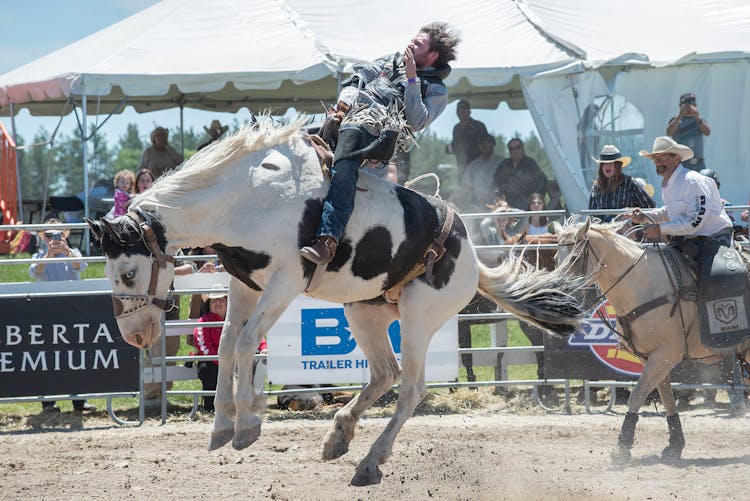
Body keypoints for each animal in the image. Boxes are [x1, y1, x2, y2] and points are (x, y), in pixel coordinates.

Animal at [88, 121, 588, 484]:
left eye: (128, 272)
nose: (136, 335)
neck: (250, 194)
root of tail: (470, 255)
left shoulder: (286, 280)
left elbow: (248, 342)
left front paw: (248, 424)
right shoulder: (244, 283)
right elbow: (227, 344)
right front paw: (222, 426)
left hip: (419, 318)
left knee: (412, 387)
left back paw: (370, 460)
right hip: (365, 310)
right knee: (385, 373)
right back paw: (339, 436)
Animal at [556, 219, 748, 464]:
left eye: (575, 257)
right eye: (555, 258)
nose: (560, 297)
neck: (641, 284)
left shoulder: (664, 356)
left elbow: (637, 395)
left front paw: (622, 447)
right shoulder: (652, 358)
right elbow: (667, 398)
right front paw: (675, 446)